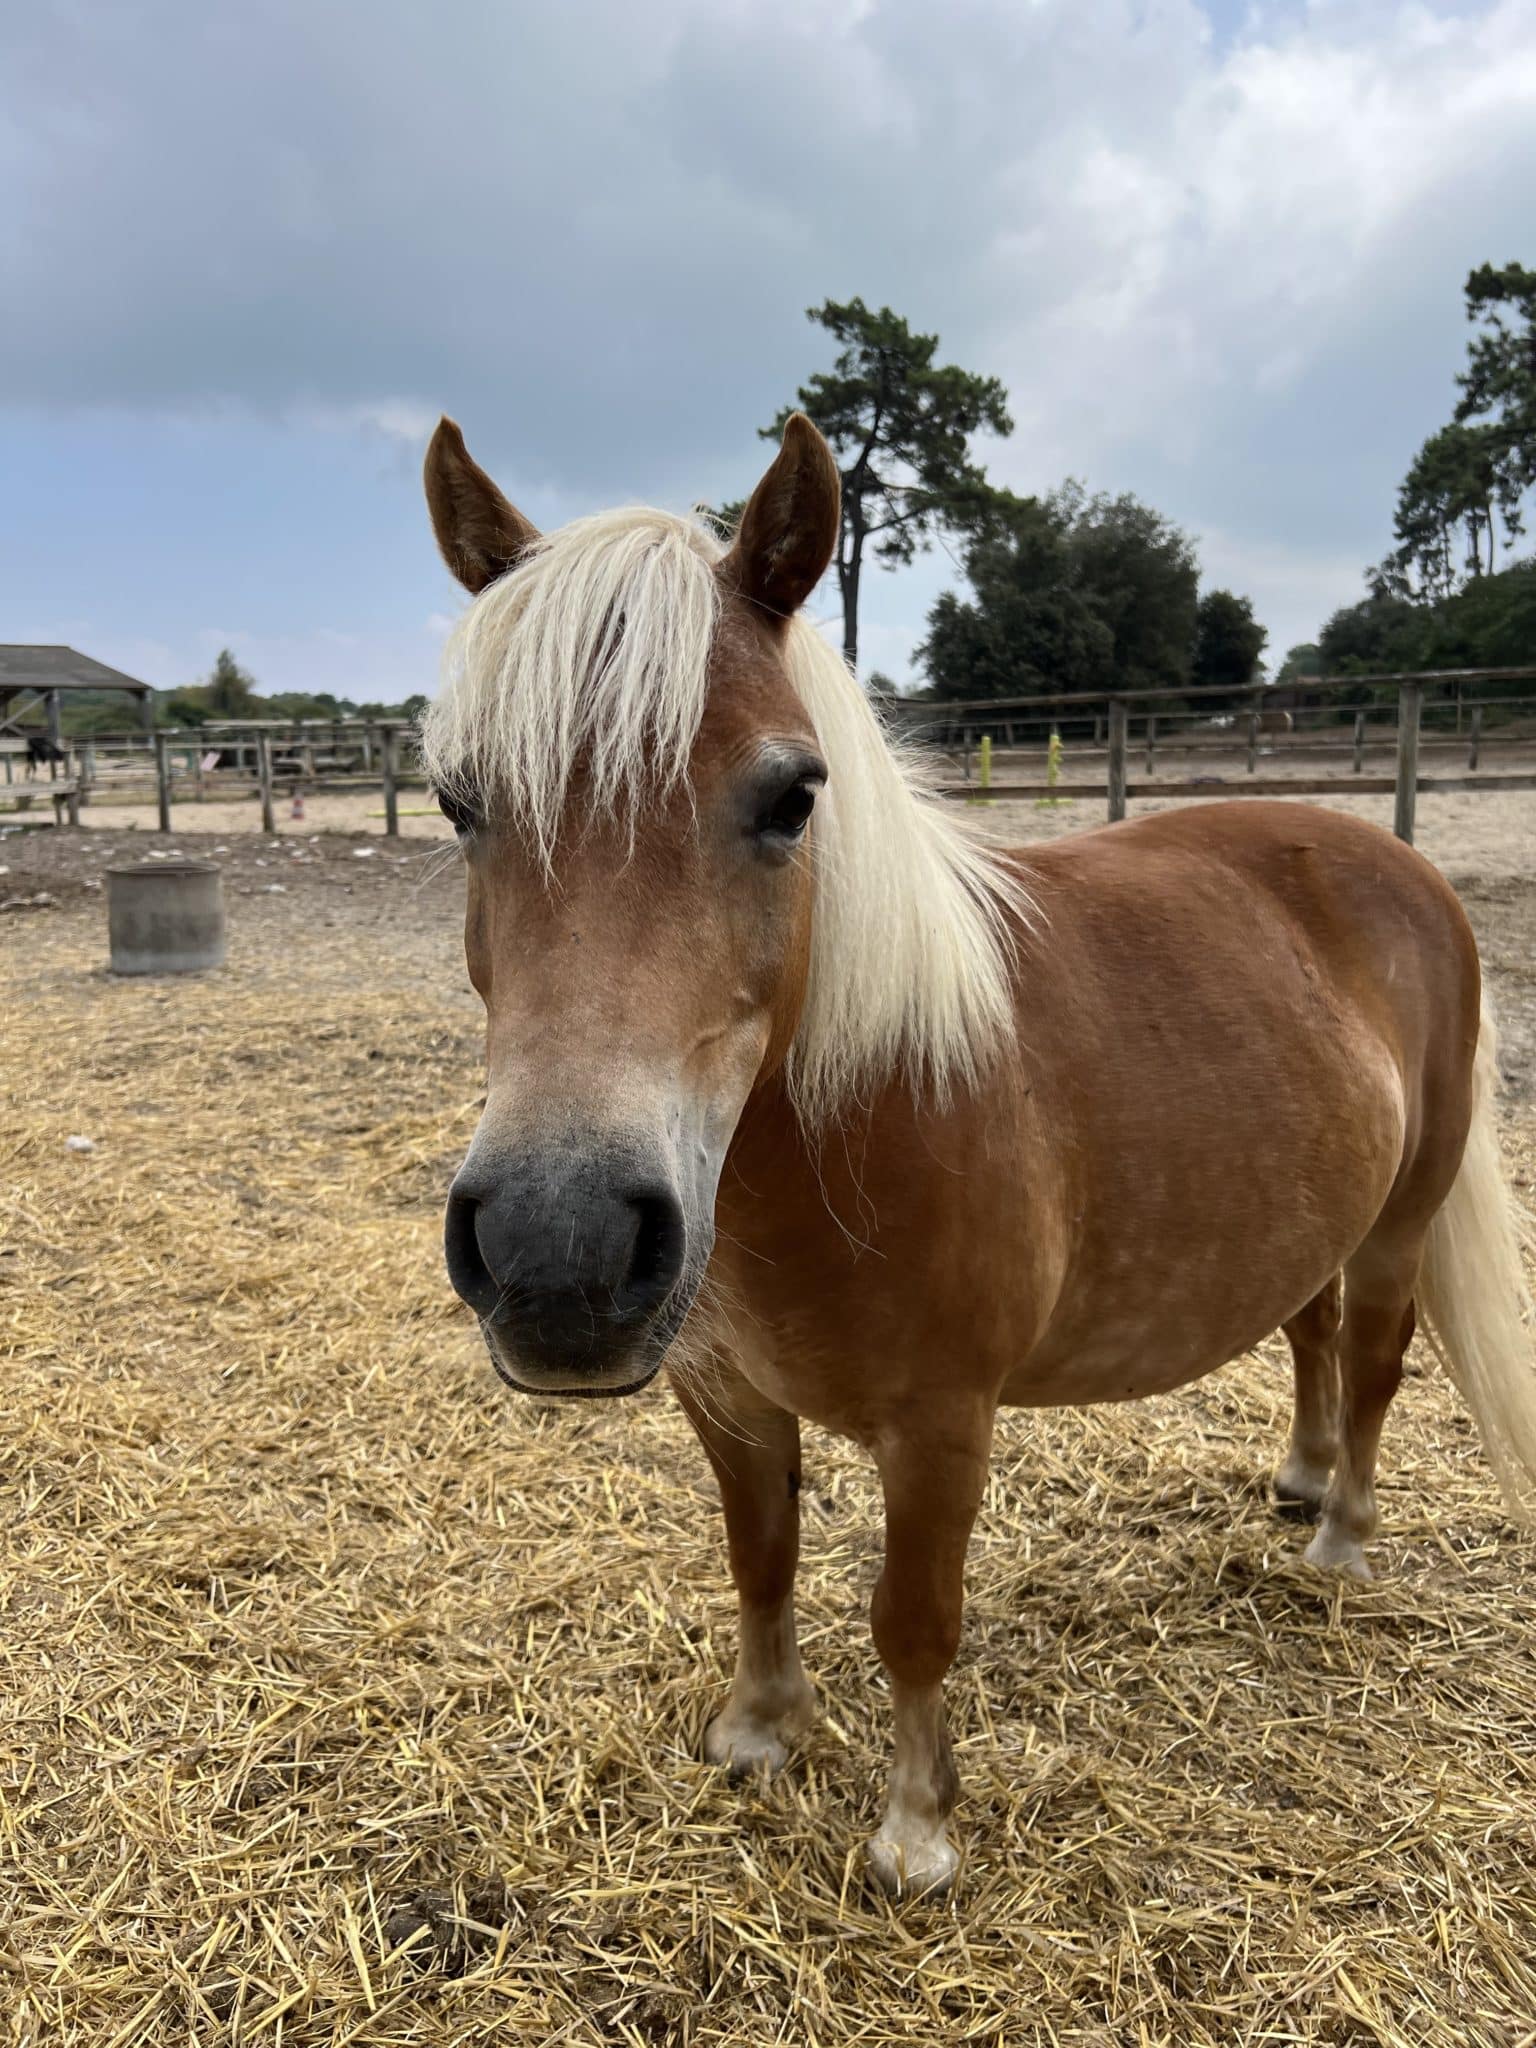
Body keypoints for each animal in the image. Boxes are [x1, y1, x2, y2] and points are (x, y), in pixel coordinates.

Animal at [419, 414, 1536, 1897]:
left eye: (793, 798)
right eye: (457, 802)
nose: (562, 1251)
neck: (867, 1116)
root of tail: (1399, 864)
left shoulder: (944, 1422)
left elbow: (913, 1616)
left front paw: (914, 1835)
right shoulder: (725, 1395)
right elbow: (761, 1555)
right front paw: (760, 1734)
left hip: (1403, 1219)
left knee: (1374, 1353)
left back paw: (1340, 1538)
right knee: (1306, 1328)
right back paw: (1298, 1479)